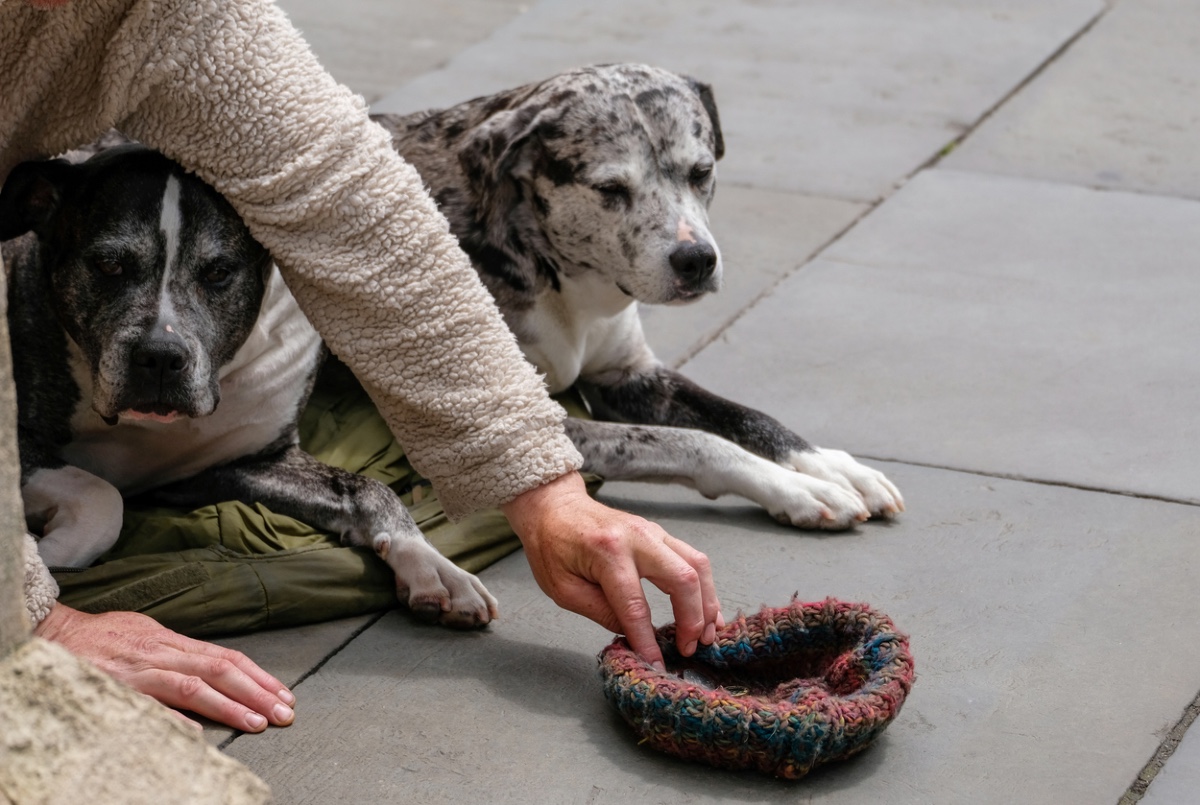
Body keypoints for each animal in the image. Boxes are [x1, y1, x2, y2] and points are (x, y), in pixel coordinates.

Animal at [0, 145, 494, 628]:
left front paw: (431, 564)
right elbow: (103, 496)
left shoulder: (249, 464)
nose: (160, 356)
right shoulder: (23, 442)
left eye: (219, 272)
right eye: (108, 265)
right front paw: (44, 562)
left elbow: (366, 489)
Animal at [374, 64, 902, 527]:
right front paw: (796, 488)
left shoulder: (632, 376)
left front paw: (829, 464)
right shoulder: (519, 427)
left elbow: (746, 416)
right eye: (609, 187)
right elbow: (690, 442)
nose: (696, 260)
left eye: (700, 171)